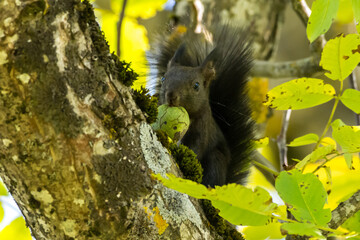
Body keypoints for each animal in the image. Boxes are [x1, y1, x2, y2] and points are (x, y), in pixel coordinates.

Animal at [150, 25, 255, 187]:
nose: (171, 96)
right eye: (163, 78)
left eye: (196, 85)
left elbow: (195, 148)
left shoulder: (201, 129)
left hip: (215, 162)